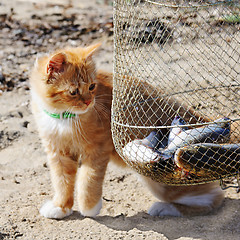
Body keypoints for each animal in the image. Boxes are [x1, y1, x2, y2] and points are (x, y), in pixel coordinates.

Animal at [30, 43, 223, 219]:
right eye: (73, 92)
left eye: (92, 87)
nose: (89, 102)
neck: (63, 118)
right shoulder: (57, 152)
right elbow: (62, 182)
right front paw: (61, 207)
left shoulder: (97, 149)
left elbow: (89, 179)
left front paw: (89, 207)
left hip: (161, 180)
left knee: (213, 198)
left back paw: (165, 208)